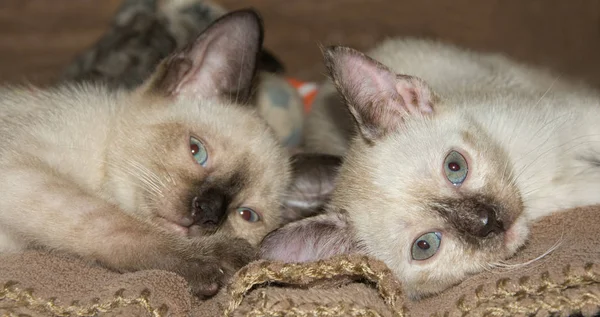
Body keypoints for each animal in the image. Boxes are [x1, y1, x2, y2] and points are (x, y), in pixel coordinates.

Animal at [0, 9, 338, 296]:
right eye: (197, 151)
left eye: (246, 215)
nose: (207, 211)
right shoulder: (20, 172)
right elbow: (116, 224)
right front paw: (215, 258)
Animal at [262, 37, 600, 298]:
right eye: (425, 246)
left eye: (455, 167)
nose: (487, 221)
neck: (530, 181)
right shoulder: (574, 189)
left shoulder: (578, 117)